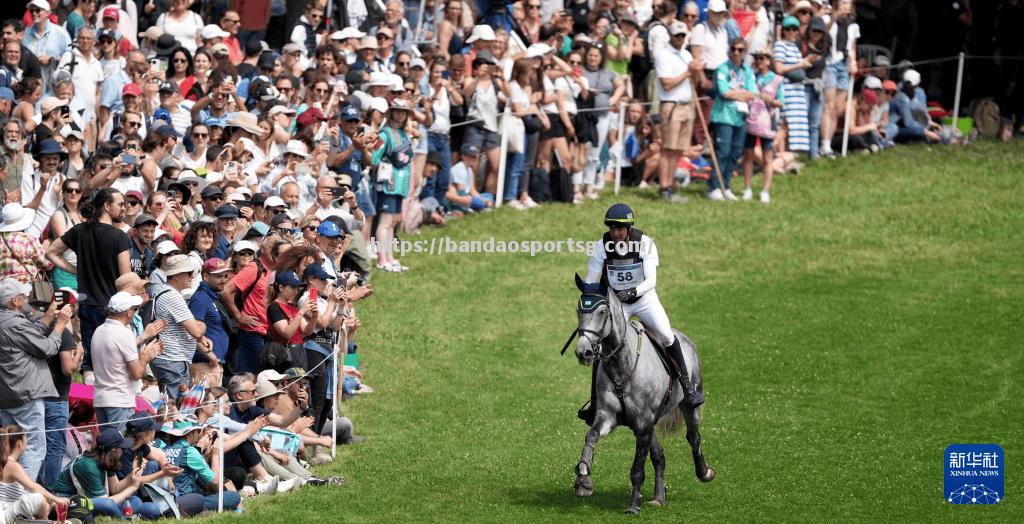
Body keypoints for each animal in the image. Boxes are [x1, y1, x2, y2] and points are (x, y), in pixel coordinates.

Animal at [573, 276, 716, 513]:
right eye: (578, 310)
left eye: (602, 312)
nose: (583, 352)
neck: (622, 365)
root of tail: (685, 339)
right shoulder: (609, 417)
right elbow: (591, 436)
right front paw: (583, 479)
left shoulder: (643, 422)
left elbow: (637, 469)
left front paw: (633, 506)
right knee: (659, 456)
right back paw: (659, 497)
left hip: (687, 407)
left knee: (693, 437)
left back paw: (704, 473)